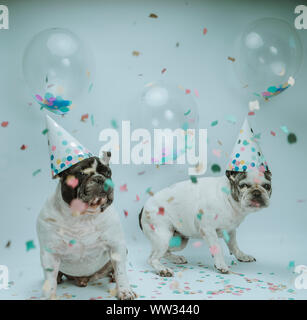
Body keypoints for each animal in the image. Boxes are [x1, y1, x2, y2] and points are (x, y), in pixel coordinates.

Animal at [36, 152, 137, 300]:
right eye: (82, 174)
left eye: (108, 173)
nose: (100, 178)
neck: (82, 217)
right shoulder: (50, 253)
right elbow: (50, 280)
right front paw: (49, 296)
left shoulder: (116, 245)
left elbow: (121, 272)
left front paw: (124, 291)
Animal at [140, 169, 272, 276]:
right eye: (243, 185)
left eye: (267, 186)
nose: (257, 192)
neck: (228, 198)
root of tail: (143, 208)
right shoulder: (208, 230)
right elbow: (217, 248)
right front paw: (221, 265)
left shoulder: (231, 231)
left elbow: (234, 245)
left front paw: (242, 256)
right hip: (163, 237)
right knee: (152, 258)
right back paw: (163, 269)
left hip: (180, 241)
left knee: (163, 252)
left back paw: (176, 259)